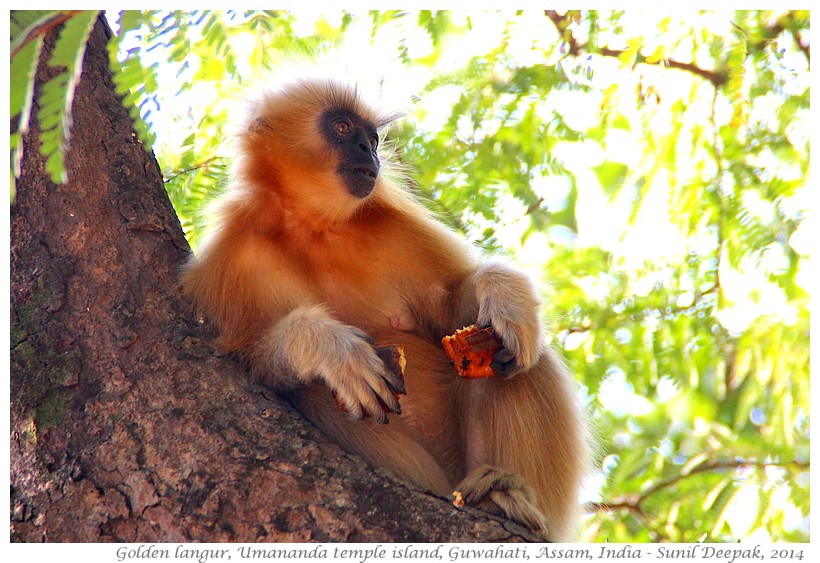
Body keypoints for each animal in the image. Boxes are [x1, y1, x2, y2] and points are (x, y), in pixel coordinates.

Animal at [181, 75, 588, 540]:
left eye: (373, 138)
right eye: (342, 127)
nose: (368, 150)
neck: (312, 227)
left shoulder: (394, 225)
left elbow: (452, 306)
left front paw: (502, 292)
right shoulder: (230, 258)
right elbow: (253, 359)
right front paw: (326, 347)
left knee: (515, 353)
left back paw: (509, 495)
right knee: (318, 391)